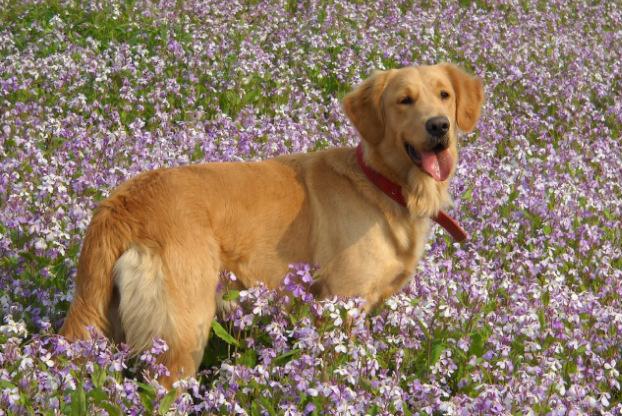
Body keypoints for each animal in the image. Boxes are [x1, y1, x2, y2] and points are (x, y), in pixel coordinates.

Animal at [61, 63, 486, 388]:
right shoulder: (340, 304)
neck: (384, 185)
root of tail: (118, 206)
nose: (439, 126)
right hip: (183, 334)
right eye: (404, 100)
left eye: (444, 95)